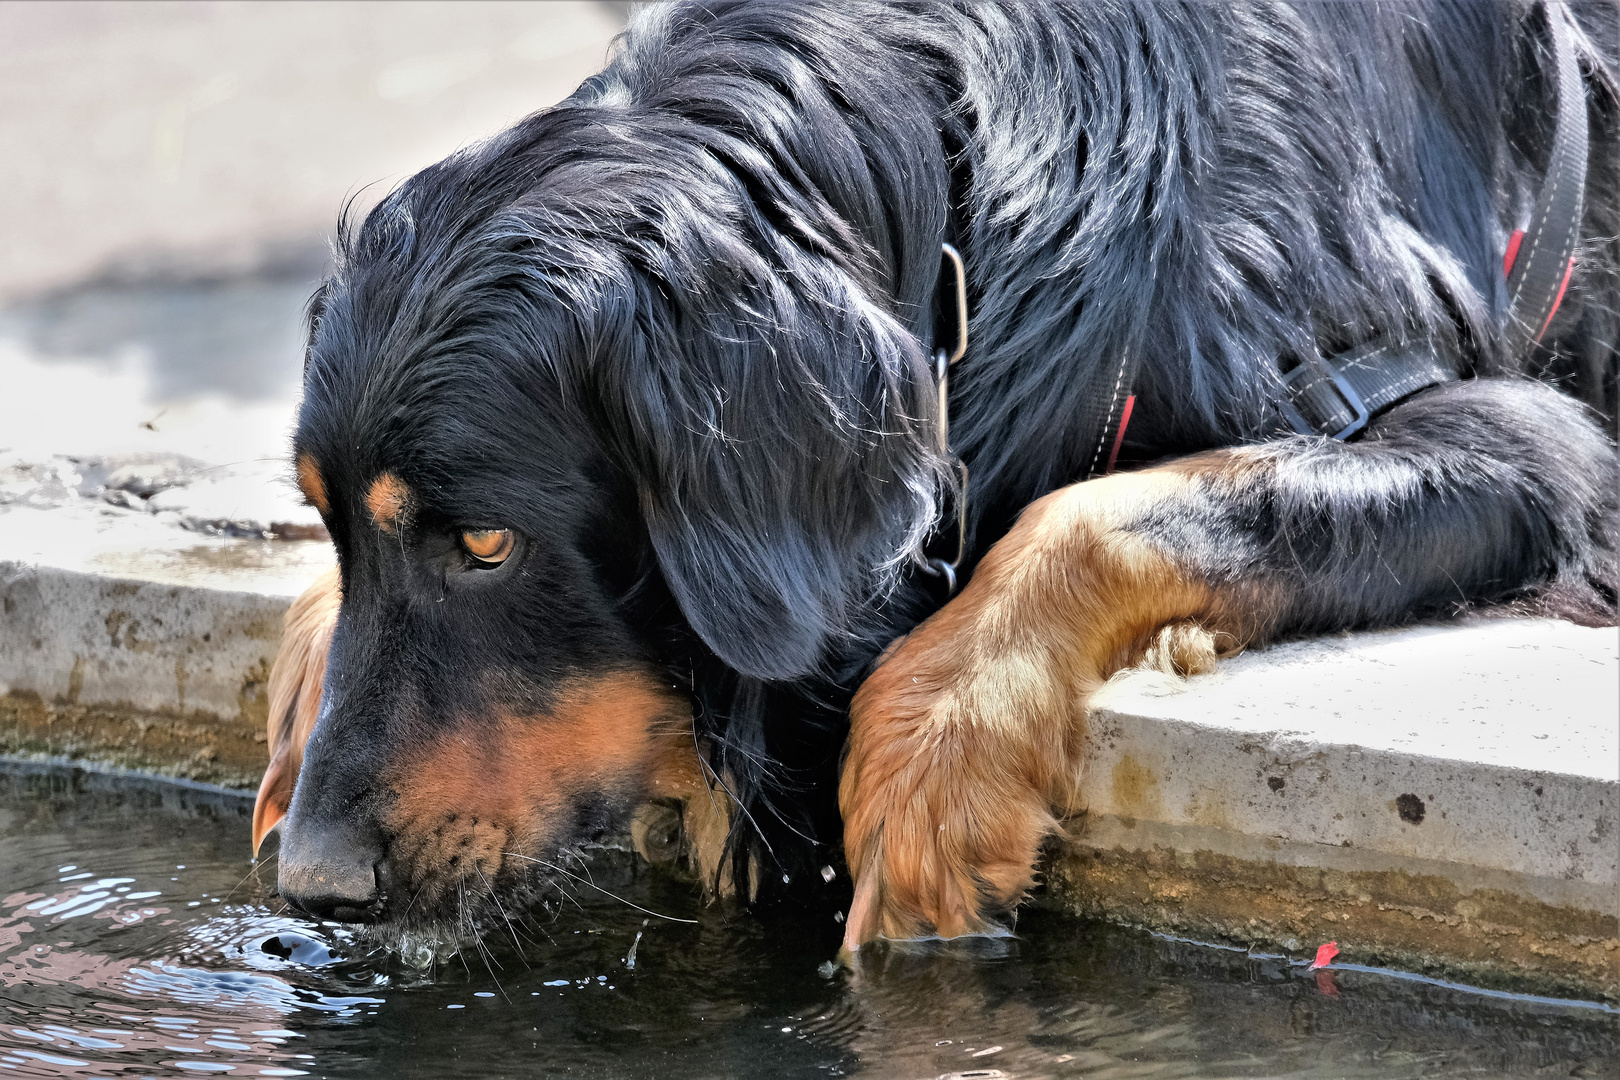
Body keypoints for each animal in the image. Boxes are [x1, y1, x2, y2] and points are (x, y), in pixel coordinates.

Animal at [252, 2, 1620, 952]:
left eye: (488, 546)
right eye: (333, 523)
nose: (317, 887)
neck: (968, 230)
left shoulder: (1516, 436)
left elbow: (1103, 509)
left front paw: (937, 766)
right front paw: (299, 703)